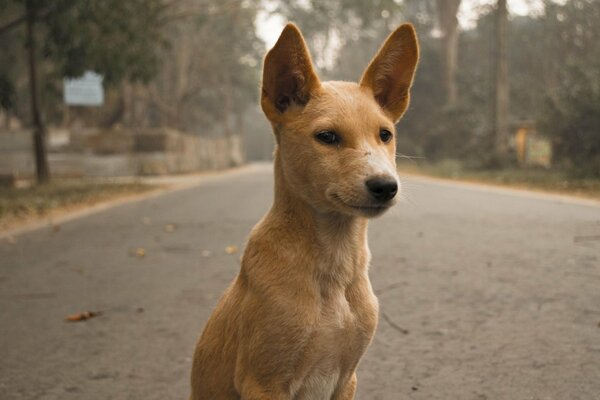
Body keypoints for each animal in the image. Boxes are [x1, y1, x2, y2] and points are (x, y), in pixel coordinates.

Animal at [191, 22, 418, 400]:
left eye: (385, 135)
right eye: (327, 136)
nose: (386, 186)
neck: (333, 264)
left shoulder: (346, 379)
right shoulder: (264, 383)